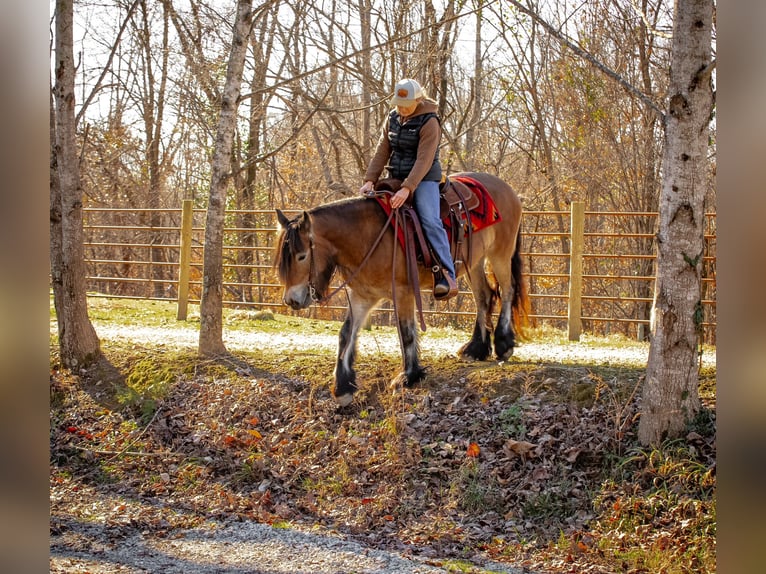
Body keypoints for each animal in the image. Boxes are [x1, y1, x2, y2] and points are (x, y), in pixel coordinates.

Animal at [274, 171, 528, 406]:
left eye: (302, 256)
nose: (291, 301)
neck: (369, 236)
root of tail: (506, 188)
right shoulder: (362, 296)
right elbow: (346, 334)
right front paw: (343, 386)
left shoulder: (404, 292)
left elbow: (406, 332)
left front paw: (409, 376)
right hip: (474, 262)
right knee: (484, 296)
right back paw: (476, 349)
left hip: (500, 254)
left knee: (507, 290)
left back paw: (504, 344)